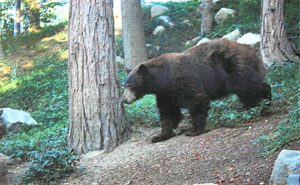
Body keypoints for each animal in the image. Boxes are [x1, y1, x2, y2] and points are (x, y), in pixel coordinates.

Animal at [122, 38, 272, 143]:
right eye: (124, 85)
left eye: (129, 84)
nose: (123, 100)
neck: (164, 80)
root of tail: (250, 48)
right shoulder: (165, 93)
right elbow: (168, 112)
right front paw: (160, 136)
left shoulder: (183, 80)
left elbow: (196, 100)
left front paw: (194, 130)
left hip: (234, 67)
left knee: (248, 87)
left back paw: (260, 106)